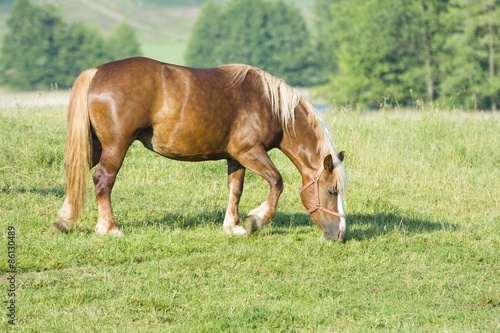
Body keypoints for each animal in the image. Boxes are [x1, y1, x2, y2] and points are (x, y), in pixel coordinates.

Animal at [52, 55, 346, 240]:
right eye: (332, 191)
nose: (340, 234)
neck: (267, 103)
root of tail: (96, 72)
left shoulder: (236, 157)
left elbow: (235, 189)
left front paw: (233, 226)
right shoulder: (250, 152)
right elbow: (277, 181)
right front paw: (256, 220)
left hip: (94, 145)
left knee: (76, 172)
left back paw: (65, 219)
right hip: (115, 146)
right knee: (103, 180)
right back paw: (109, 228)